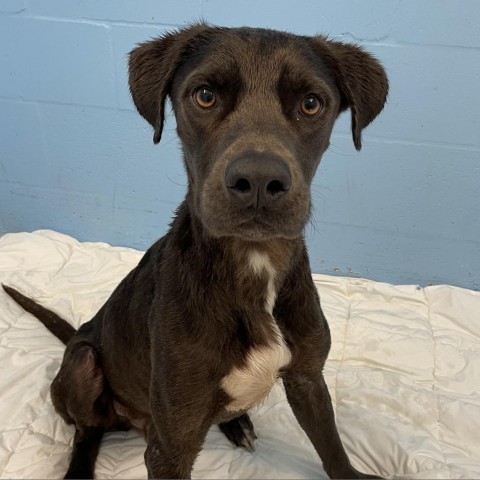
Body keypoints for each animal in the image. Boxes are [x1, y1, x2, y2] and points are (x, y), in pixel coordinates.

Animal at [1, 23, 388, 480]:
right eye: (205, 95)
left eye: (311, 103)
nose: (259, 181)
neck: (253, 263)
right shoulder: (170, 446)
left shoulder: (309, 379)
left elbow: (332, 447)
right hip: (83, 363)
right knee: (87, 429)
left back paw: (236, 423)